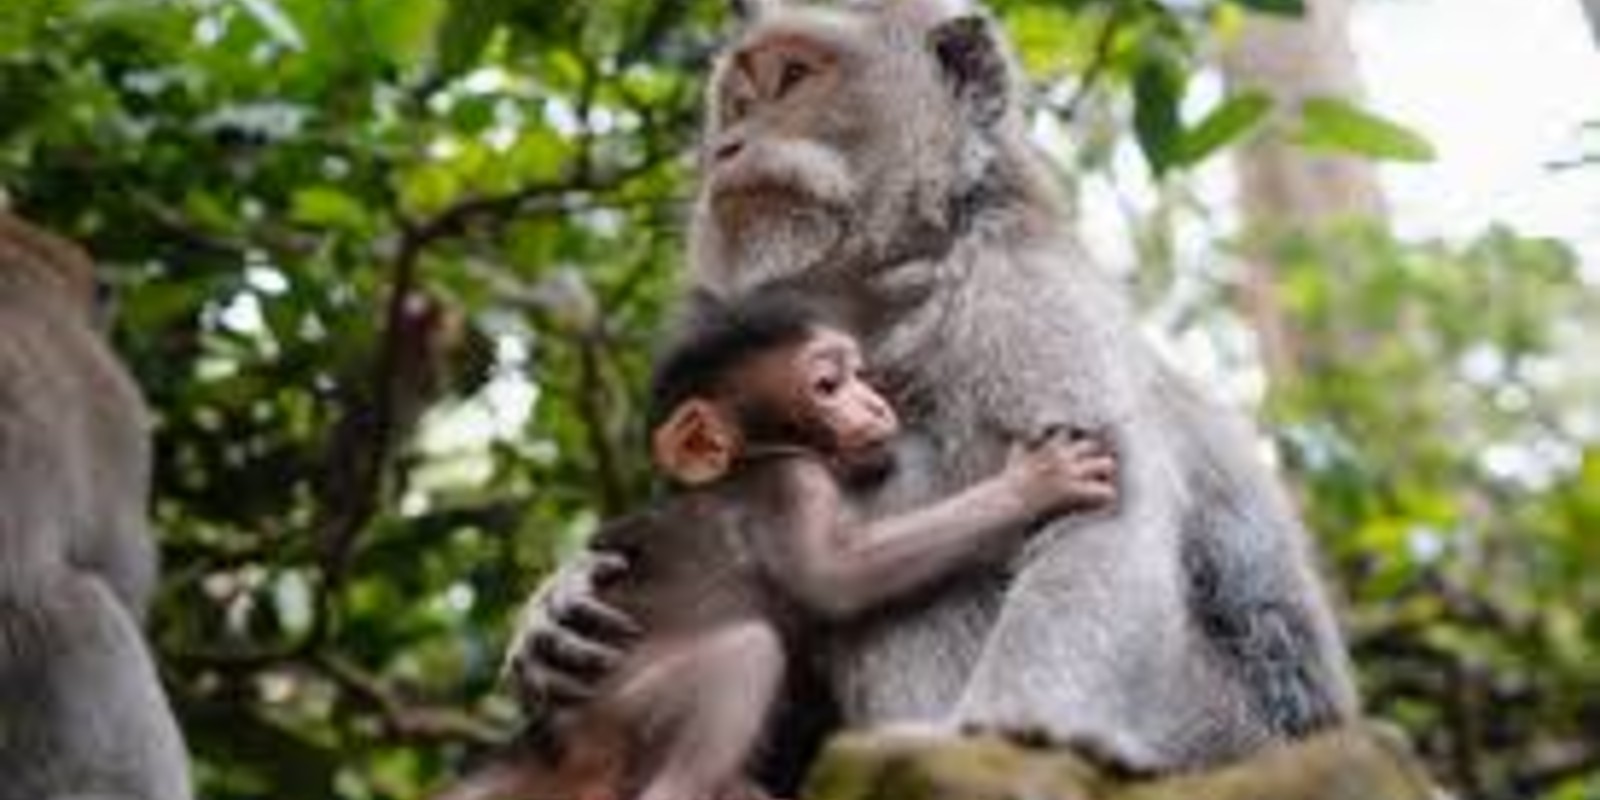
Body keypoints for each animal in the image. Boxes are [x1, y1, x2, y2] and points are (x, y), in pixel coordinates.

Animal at [439, 288, 1118, 800]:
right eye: (828, 385)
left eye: (860, 376)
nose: (876, 403)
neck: (757, 454)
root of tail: (539, 746)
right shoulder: (794, 481)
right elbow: (836, 576)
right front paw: (1034, 484)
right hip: (612, 718)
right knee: (748, 651)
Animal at [508, 0, 1360, 778]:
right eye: (739, 99)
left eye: (793, 77)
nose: (727, 144)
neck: (882, 287)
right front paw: (559, 600)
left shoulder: (1025, 295)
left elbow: (1101, 517)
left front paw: (1002, 734)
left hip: (1206, 732)